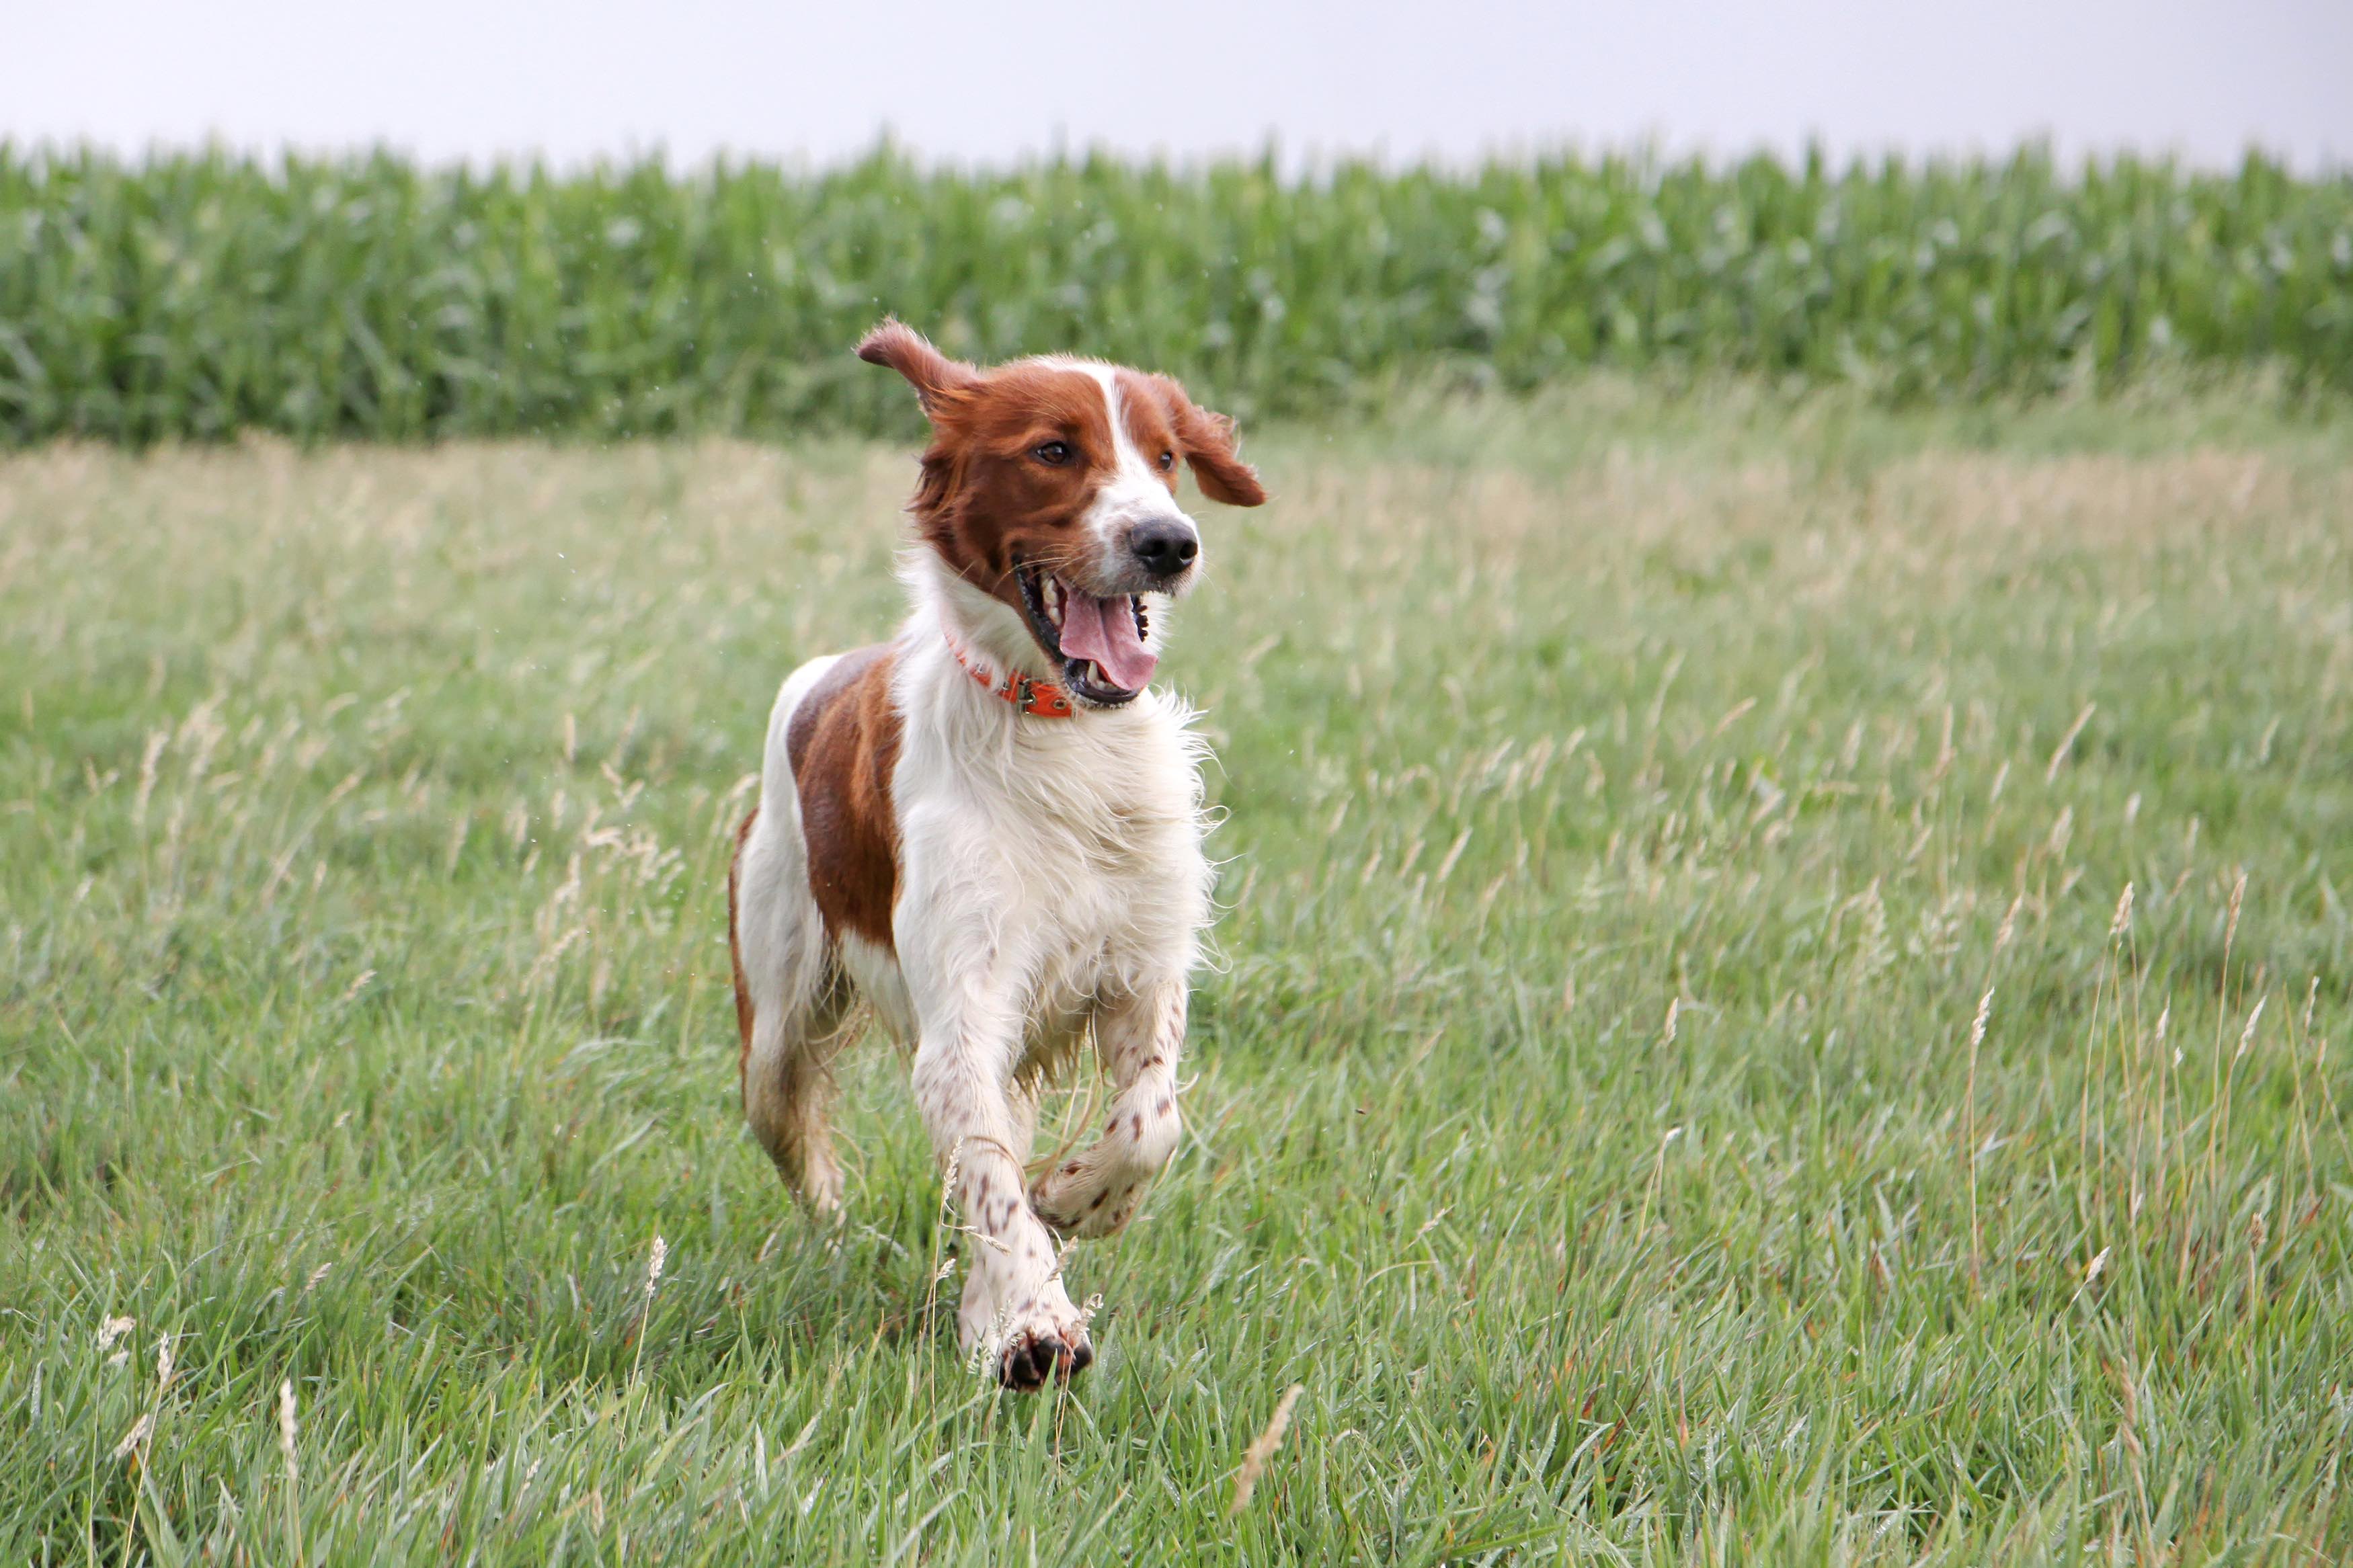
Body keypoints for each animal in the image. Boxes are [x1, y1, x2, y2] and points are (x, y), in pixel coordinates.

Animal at [720, 322, 1261, 1382]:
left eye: (1165, 457)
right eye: (1053, 449)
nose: (1169, 543)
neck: (1059, 728)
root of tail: (823, 671)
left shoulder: (1142, 968)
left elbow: (1150, 1119)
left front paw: (1079, 1197)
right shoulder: (962, 1011)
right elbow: (991, 1182)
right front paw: (1036, 1322)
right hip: (774, 1015)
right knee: (795, 1131)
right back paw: (845, 1227)